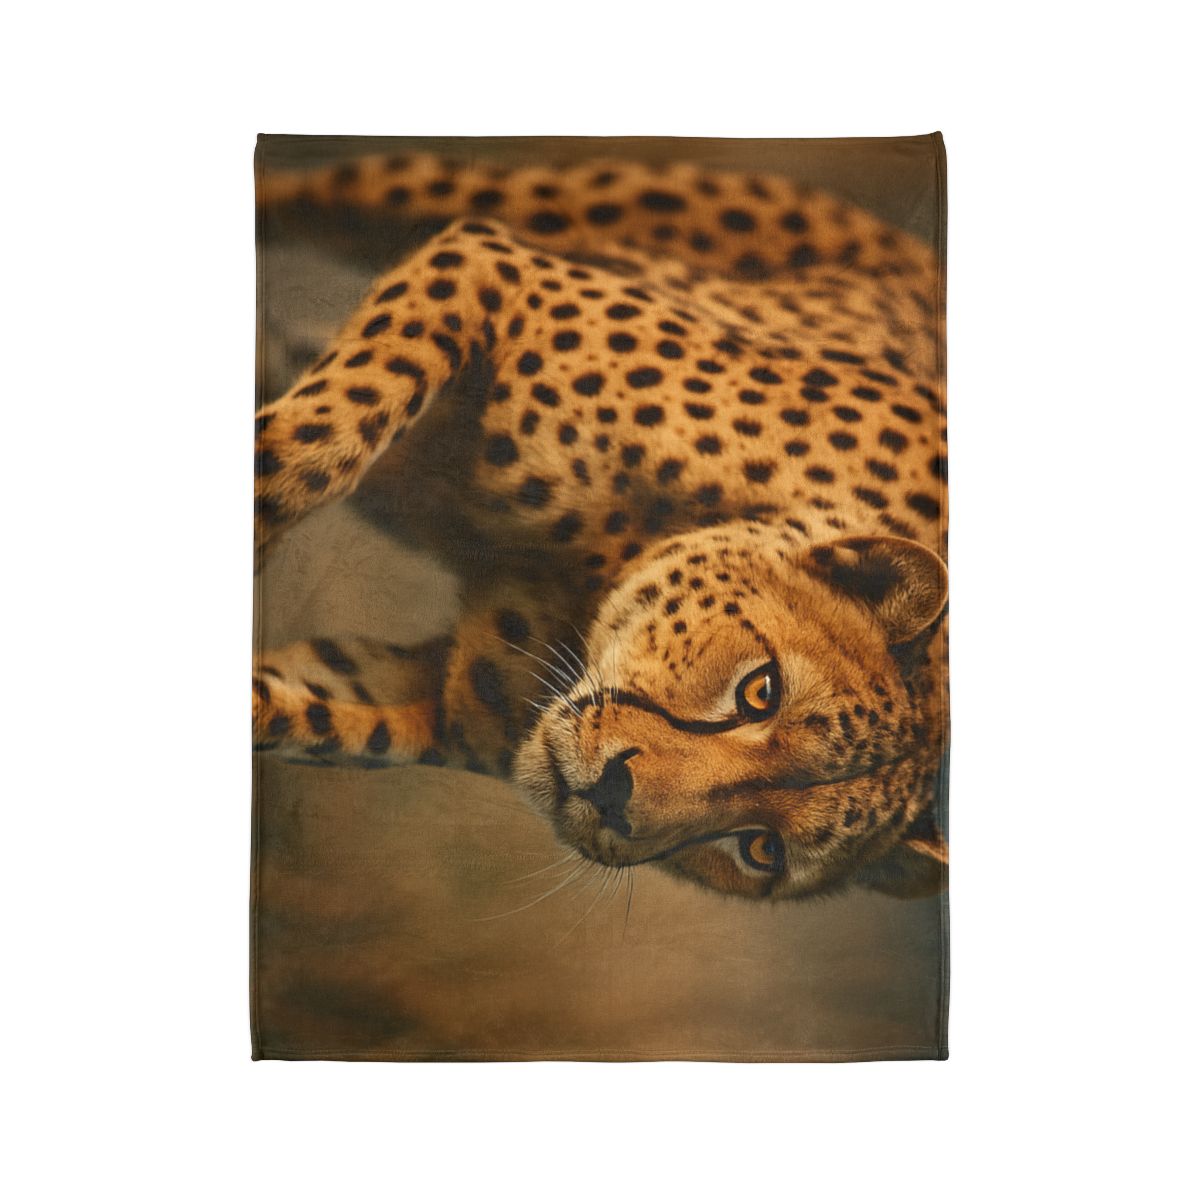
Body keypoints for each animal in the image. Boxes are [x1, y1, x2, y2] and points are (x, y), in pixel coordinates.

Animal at [252, 147, 948, 902]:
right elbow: (325, 430)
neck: (599, 573)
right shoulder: (490, 264)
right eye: (761, 690)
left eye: (761, 847)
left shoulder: (432, 702)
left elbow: (303, 710)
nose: (615, 798)